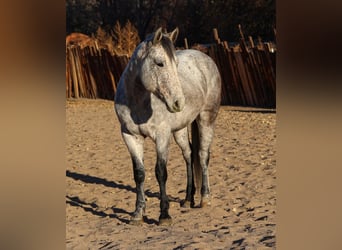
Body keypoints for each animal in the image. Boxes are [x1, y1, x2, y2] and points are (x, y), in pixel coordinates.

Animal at [115, 26, 222, 225]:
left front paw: (164, 215)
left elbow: (161, 172)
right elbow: (139, 173)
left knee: (203, 155)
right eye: (160, 63)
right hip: (180, 129)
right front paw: (138, 213)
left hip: (206, 119)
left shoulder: (162, 136)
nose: (179, 102)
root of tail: (205, 58)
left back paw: (205, 198)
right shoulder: (130, 136)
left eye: (175, 64)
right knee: (189, 155)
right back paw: (188, 199)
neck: (138, 102)